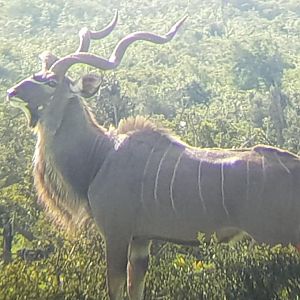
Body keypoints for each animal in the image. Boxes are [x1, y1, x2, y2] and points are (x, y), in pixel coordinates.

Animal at [5, 12, 300, 300]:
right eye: (38, 73)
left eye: (51, 82)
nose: (12, 92)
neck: (100, 155)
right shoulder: (141, 241)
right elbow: (135, 288)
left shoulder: (116, 233)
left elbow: (115, 288)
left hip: (278, 238)